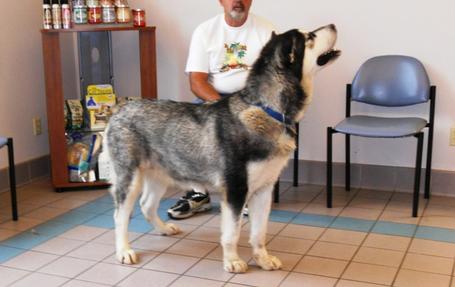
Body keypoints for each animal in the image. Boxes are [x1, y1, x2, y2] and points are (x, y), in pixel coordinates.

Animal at [105, 24, 340, 274]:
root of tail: (121, 109)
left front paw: (262, 259)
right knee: (120, 215)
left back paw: (164, 229)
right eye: (310, 37)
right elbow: (232, 232)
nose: (333, 25)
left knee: (147, 205)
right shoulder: (236, 190)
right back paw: (124, 251)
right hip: (129, 179)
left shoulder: (264, 190)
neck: (267, 109)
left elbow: (259, 232)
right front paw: (233, 261)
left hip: (161, 175)